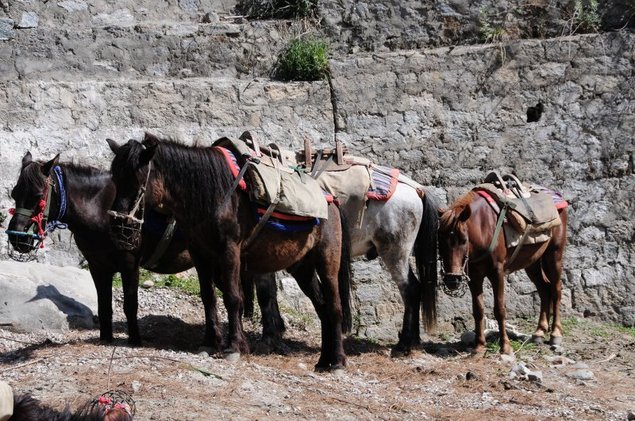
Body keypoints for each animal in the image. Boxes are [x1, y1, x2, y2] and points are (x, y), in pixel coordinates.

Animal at [4, 150, 284, 344]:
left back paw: (269, 334)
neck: (99, 208)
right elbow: (104, 305)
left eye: (38, 196)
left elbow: (130, 303)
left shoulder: (129, 263)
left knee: (265, 289)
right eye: (15, 193)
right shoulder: (98, 267)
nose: (18, 238)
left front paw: (135, 340)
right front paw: (106, 338)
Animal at [105, 135, 352, 370]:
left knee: (334, 307)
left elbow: (233, 297)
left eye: (138, 179)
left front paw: (234, 347)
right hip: (302, 267)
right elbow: (208, 297)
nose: (118, 226)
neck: (210, 194)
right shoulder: (200, 255)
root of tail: (332, 200)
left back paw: (338, 362)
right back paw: (323, 361)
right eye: (115, 178)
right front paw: (209, 342)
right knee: (322, 308)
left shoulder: (229, 251)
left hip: (327, 261)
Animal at [440, 189, 568, 352]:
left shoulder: (497, 273)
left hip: (554, 254)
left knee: (556, 289)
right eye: (439, 240)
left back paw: (555, 334)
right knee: (544, 289)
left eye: (463, 240)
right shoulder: (474, 276)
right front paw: (479, 346)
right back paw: (539, 332)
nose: (452, 280)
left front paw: (505, 346)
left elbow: (499, 309)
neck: (483, 226)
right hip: (532, 262)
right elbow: (478, 310)